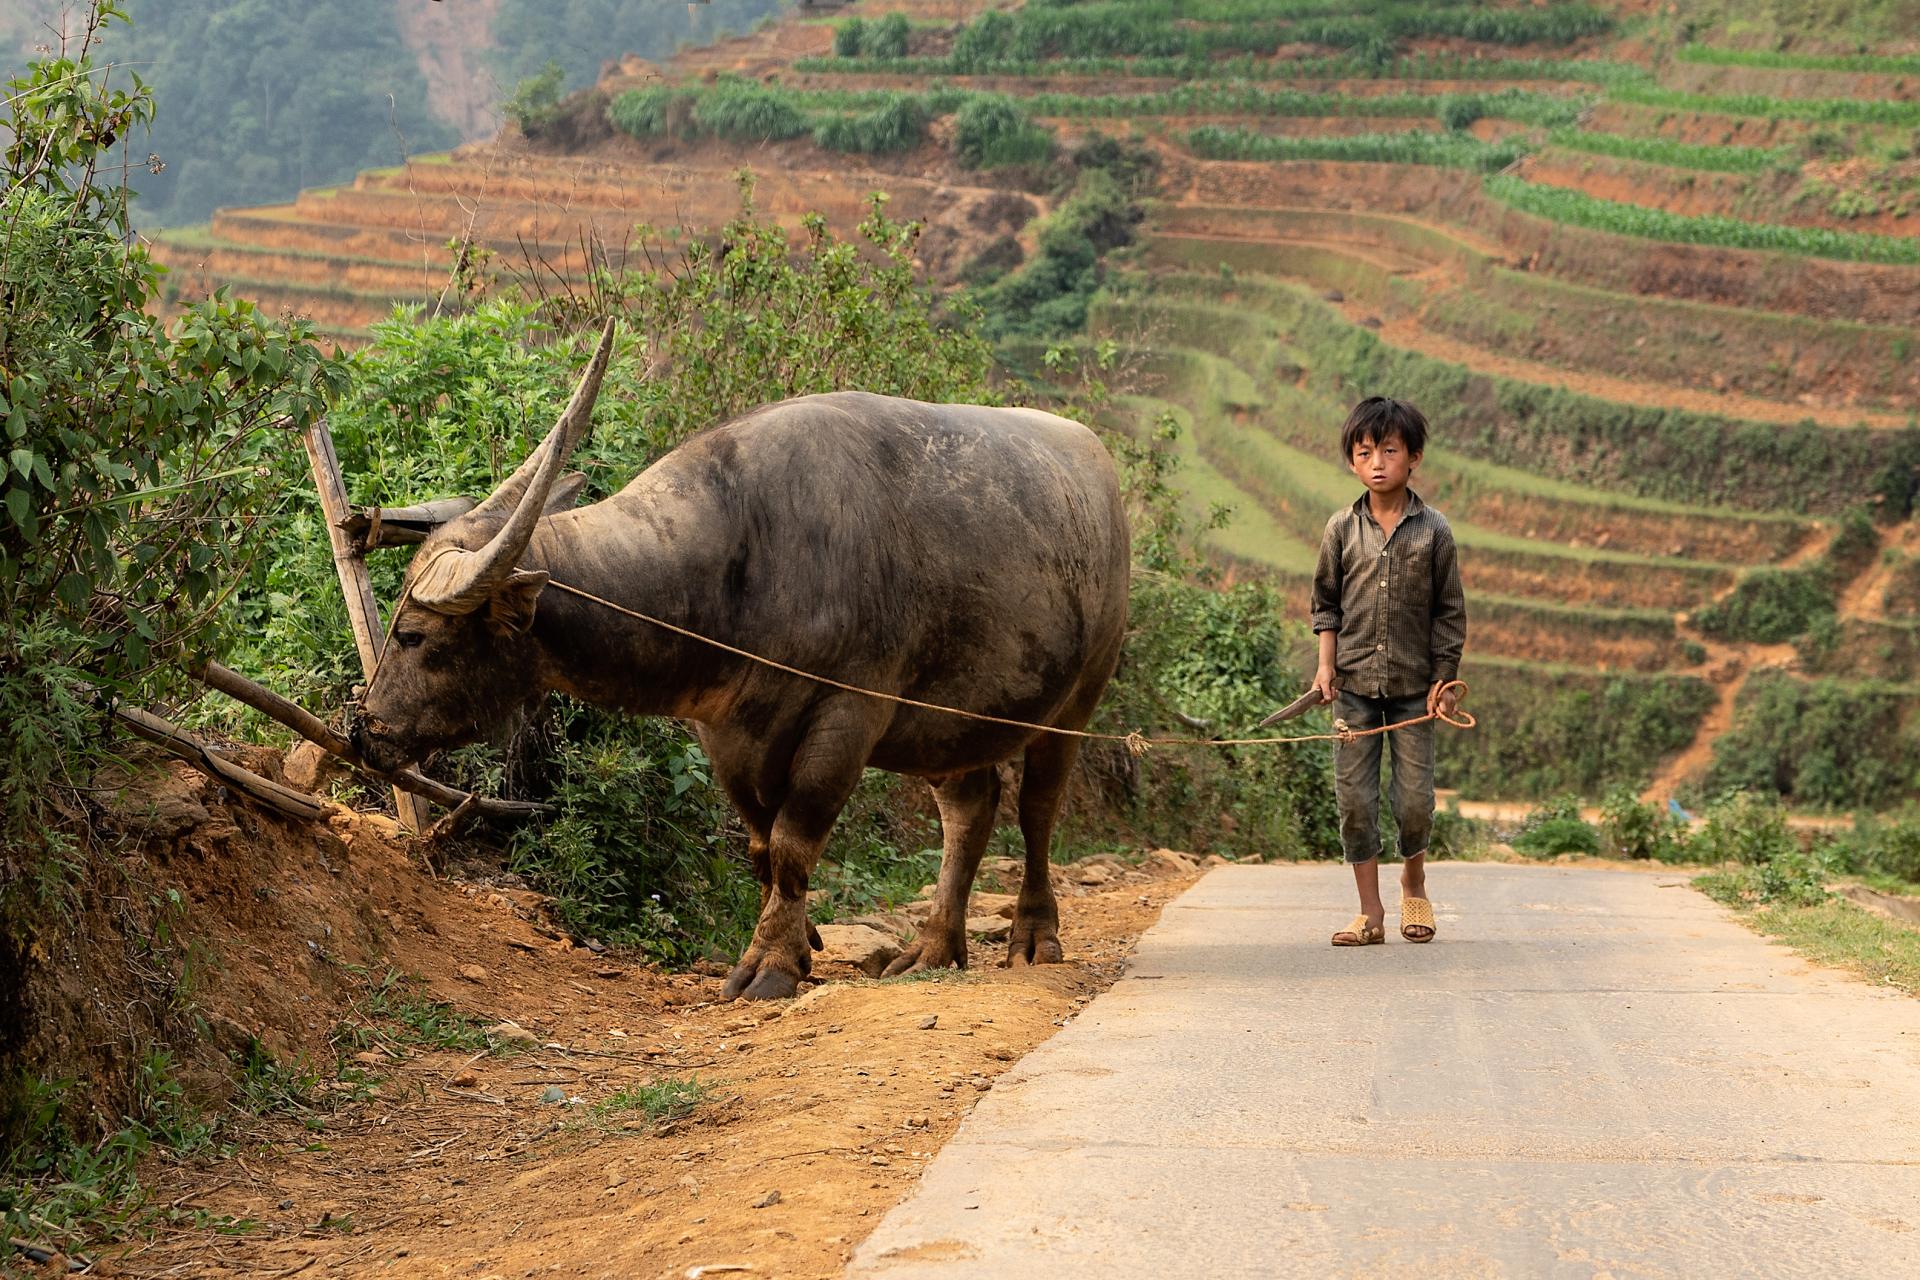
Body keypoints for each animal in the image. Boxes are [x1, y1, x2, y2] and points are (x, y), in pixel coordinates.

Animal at [347, 322, 1128, 997]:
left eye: (413, 634)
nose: (364, 731)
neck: (743, 555)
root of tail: (1097, 466)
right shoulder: (725, 731)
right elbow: (759, 847)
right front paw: (801, 943)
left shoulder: (850, 716)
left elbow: (792, 842)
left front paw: (771, 968)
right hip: (948, 721)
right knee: (970, 808)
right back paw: (934, 949)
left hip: (1081, 695)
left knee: (1037, 807)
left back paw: (1034, 937)